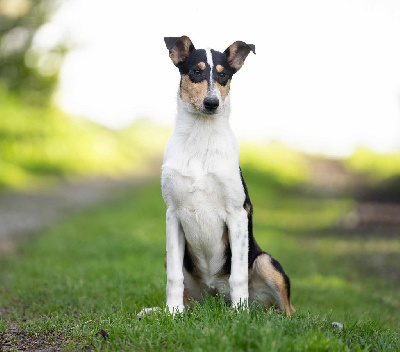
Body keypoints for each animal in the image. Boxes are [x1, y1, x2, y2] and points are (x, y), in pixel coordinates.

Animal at [141, 37, 294, 318]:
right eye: (196, 71)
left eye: (223, 75)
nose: (212, 103)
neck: (201, 138)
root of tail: (213, 296)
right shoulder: (173, 215)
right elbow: (174, 278)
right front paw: (172, 313)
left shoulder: (237, 214)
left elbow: (238, 276)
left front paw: (240, 315)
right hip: (179, 268)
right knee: (187, 295)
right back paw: (160, 311)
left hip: (265, 261)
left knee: (288, 310)